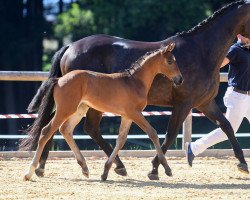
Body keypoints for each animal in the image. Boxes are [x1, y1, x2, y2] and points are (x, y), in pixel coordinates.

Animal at [23, 42, 184, 181]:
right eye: (170, 61)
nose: (180, 79)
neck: (134, 81)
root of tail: (58, 80)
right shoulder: (135, 113)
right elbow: (152, 133)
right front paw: (167, 169)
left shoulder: (127, 116)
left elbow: (121, 140)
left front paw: (106, 171)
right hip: (65, 109)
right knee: (46, 131)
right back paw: (29, 172)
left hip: (79, 109)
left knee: (65, 129)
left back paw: (84, 168)